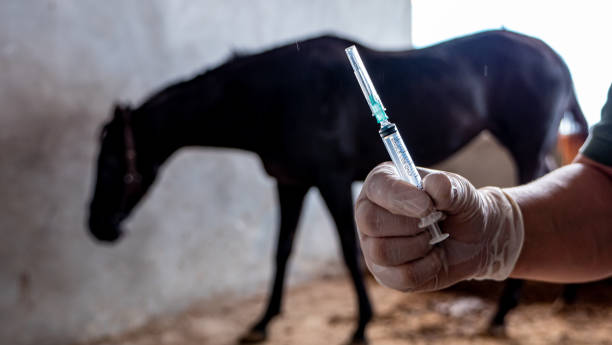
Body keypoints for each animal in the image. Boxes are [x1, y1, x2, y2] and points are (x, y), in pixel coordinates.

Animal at [87, 30, 588, 342]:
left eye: (112, 163)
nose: (97, 228)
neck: (274, 96)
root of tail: (555, 56)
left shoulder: (329, 179)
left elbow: (348, 249)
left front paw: (362, 326)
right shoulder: (290, 182)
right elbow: (282, 250)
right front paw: (263, 322)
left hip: (526, 145)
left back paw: (504, 313)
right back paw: (567, 293)